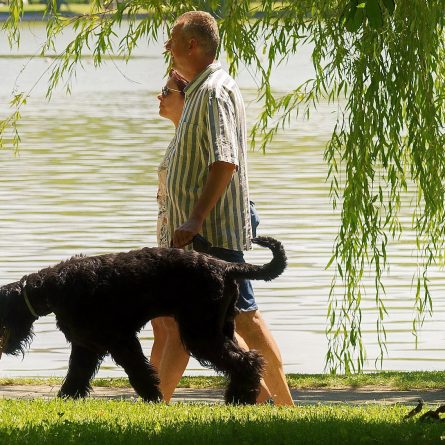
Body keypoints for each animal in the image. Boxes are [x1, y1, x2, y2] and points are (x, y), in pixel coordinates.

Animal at [0, 238, 284, 404]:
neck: (54, 288)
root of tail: (225, 267)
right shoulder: (87, 345)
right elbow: (77, 374)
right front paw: (66, 398)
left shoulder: (119, 340)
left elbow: (138, 371)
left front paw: (153, 398)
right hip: (220, 328)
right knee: (251, 358)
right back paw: (242, 396)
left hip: (201, 333)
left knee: (244, 361)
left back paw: (239, 398)